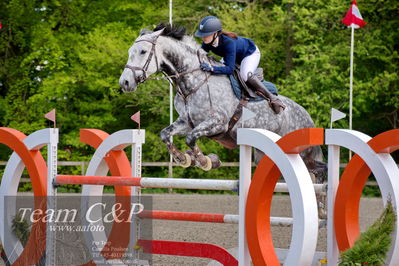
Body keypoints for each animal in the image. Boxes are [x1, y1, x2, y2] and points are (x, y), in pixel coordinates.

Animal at [118, 23, 324, 179]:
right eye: (130, 51)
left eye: (143, 51)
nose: (124, 83)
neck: (192, 82)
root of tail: (308, 117)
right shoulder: (187, 121)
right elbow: (165, 134)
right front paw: (182, 159)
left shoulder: (218, 123)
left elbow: (191, 138)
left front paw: (205, 161)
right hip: (265, 155)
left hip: (301, 153)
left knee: (320, 171)